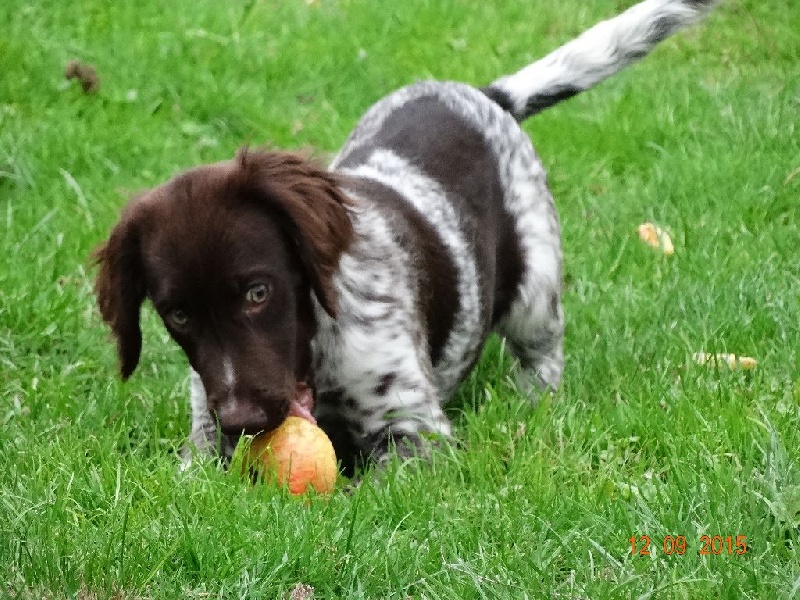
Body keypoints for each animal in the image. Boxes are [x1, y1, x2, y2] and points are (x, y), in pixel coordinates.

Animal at [94, 0, 720, 472]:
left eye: (258, 293)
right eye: (178, 315)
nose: (243, 422)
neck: (317, 351)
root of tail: (486, 95)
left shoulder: (415, 431)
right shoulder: (206, 434)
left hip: (535, 287)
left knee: (541, 350)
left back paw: (530, 399)